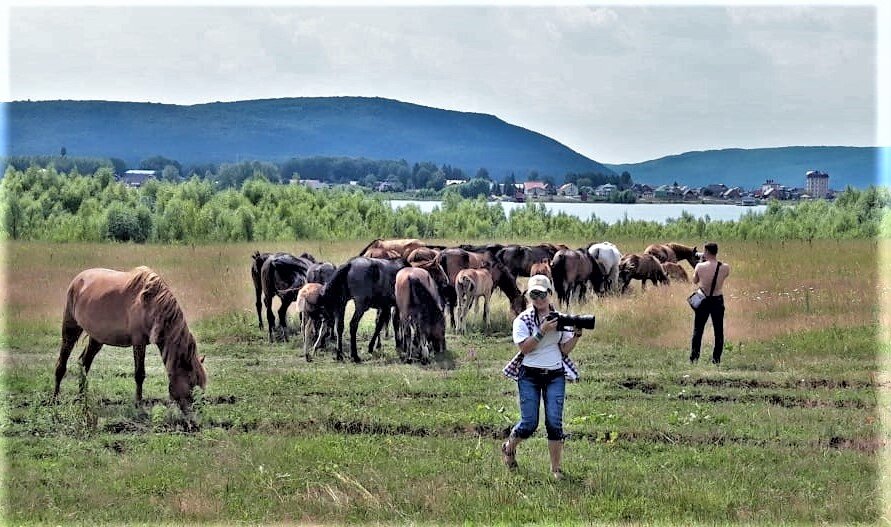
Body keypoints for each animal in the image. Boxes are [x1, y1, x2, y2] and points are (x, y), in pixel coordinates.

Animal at [53, 266, 206, 414]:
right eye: (191, 383)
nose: (193, 412)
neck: (151, 303)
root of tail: (78, 279)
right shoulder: (138, 342)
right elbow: (139, 374)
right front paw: (138, 404)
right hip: (70, 327)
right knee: (62, 364)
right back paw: (55, 398)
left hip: (96, 338)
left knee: (84, 363)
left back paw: (81, 398)